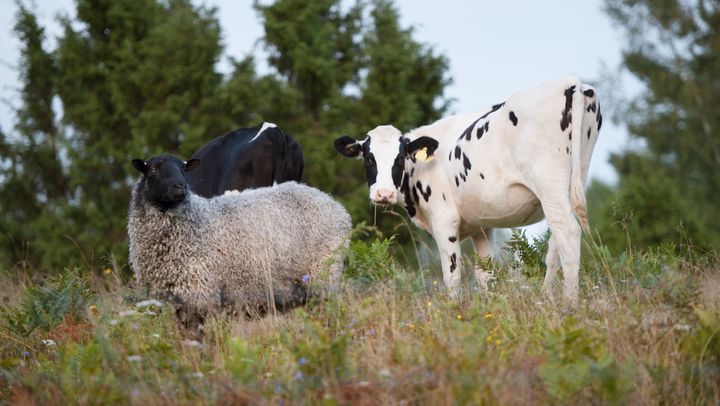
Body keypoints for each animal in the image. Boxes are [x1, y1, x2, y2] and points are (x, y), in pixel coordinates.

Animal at [127, 154, 352, 328]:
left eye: (183, 169)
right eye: (153, 169)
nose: (180, 187)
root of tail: (335, 205)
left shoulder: (200, 293)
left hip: (323, 271)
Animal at [336, 77, 600, 302]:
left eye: (400, 158)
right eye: (368, 158)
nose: (384, 194)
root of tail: (571, 82)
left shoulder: (445, 221)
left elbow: (452, 277)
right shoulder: (481, 227)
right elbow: (485, 275)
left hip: (548, 182)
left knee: (567, 233)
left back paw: (568, 304)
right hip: (575, 177)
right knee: (556, 242)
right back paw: (545, 299)